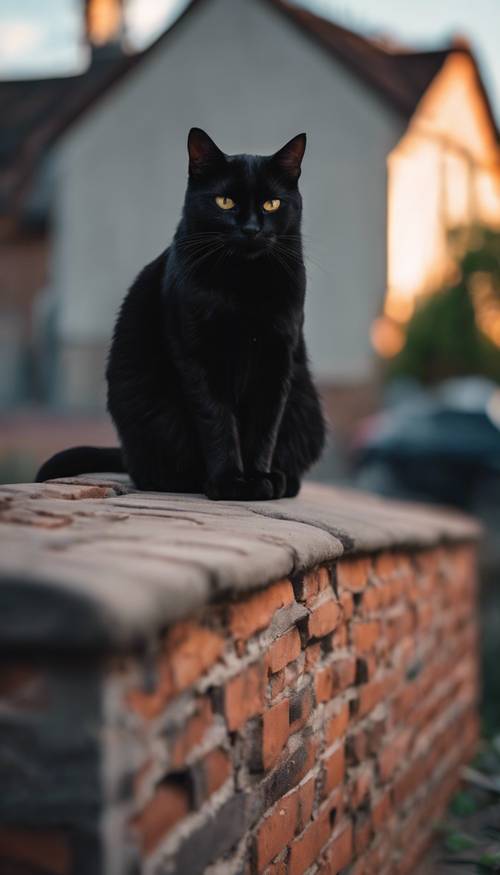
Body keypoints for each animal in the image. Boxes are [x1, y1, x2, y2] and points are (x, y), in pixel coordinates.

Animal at [36, 128, 324, 500]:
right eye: (224, 202)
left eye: (271, 204)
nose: (250, 229)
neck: (242, 285)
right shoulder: (198, 354)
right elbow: (217, 422)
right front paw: (230, 482)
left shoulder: (277, 358)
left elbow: (264, 428)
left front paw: (259, 479)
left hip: (306, 407)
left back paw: (282, 479)